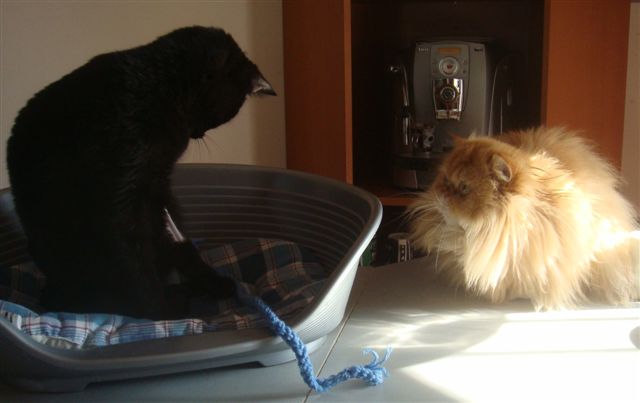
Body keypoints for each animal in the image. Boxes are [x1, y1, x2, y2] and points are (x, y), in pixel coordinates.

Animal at [6, 26, 276, 319]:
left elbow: (174, 243)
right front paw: (163, 316)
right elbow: (136, 265)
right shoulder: (120, 200)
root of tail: (52, 290)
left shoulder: (156, 188)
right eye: (231, 110)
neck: (160, 88)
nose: (198, 134)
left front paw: (207, 284)